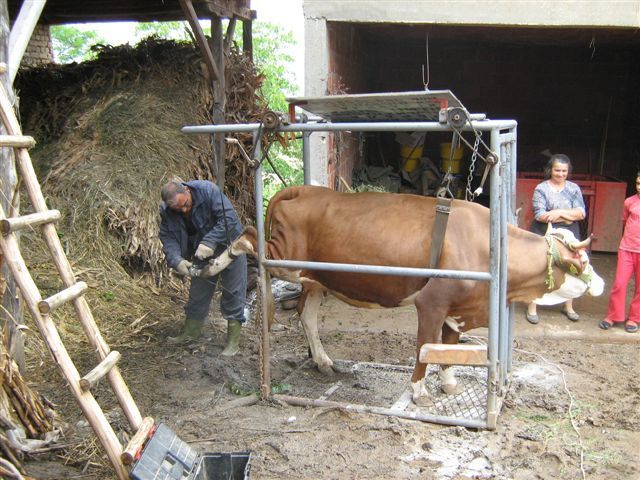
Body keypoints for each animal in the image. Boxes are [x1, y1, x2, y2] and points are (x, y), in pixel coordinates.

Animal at [206, 186, 604, 404]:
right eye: (580, 262)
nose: (599, 284)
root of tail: (307, 189)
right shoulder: (431, 303)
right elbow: (425, 347)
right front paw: (418, 390)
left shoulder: (457, 310)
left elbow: (447, 348)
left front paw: (449, 383)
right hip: (285, 256)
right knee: (248, 236)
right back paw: (212, 261)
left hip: (316, 278)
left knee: (307, 314)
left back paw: (322, 360)